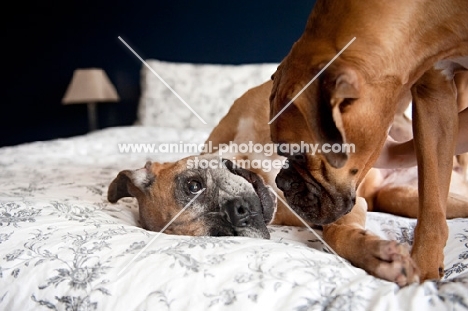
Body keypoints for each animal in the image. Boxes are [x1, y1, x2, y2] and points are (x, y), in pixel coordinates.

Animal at [107, 81, 468, 288]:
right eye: (221, 235)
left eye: (193, 185)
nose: (238, 214)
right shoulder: (336, 210)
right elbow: (338, 235)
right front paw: (378, 258)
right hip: (407, 198)